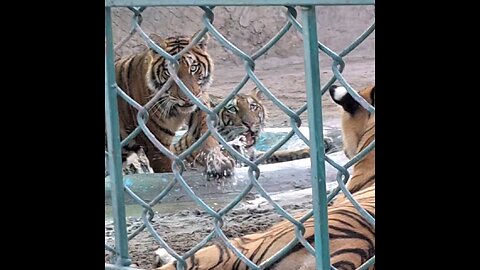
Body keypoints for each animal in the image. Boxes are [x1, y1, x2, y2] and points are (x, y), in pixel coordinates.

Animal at [114, 31, 234, 178]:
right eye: (168, 71)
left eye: (193, 68)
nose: (187, 97)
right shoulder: (157, 146)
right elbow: (167, 170)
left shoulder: (201, 112)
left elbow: (209, 140)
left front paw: (219, 163)